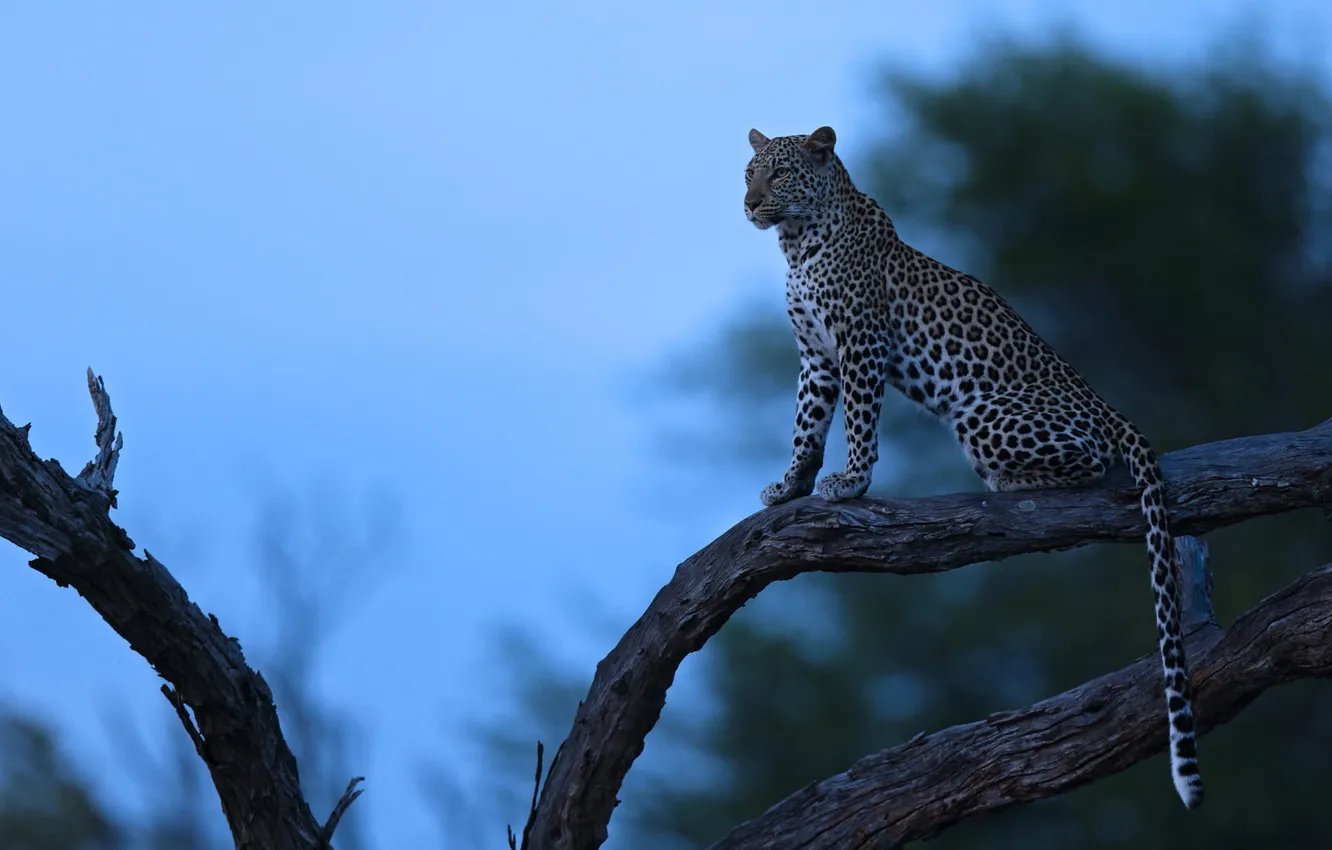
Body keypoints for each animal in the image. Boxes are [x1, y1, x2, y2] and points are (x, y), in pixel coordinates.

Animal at [744, 125, 1203, 809]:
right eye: (748, 172)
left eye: (778, 175)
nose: (749, 204)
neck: (797, 242)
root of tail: (1107, 405)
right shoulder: (816, 354)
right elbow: (806, 422)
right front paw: (791, 483)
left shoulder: (859, 343)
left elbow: (858, 420)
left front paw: (850, 482)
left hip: (979, 411)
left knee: (1092, 462)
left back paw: (1008, 479)